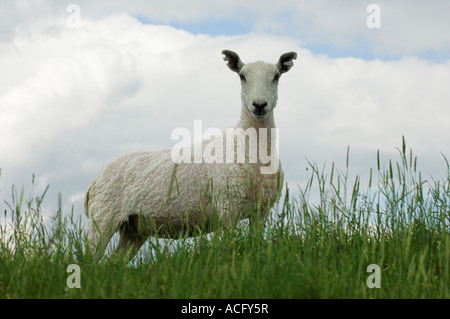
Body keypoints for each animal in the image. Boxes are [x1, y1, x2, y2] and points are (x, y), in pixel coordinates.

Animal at [84, 49, 298, 260]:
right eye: (242, 76)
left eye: (276, 76)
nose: (259, 105)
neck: (252, 148)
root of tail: (95, 179)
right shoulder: (227, 207)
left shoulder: (261, 211)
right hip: (102, 217)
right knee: (90, 260)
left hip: (134, 228)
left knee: (114, 263)